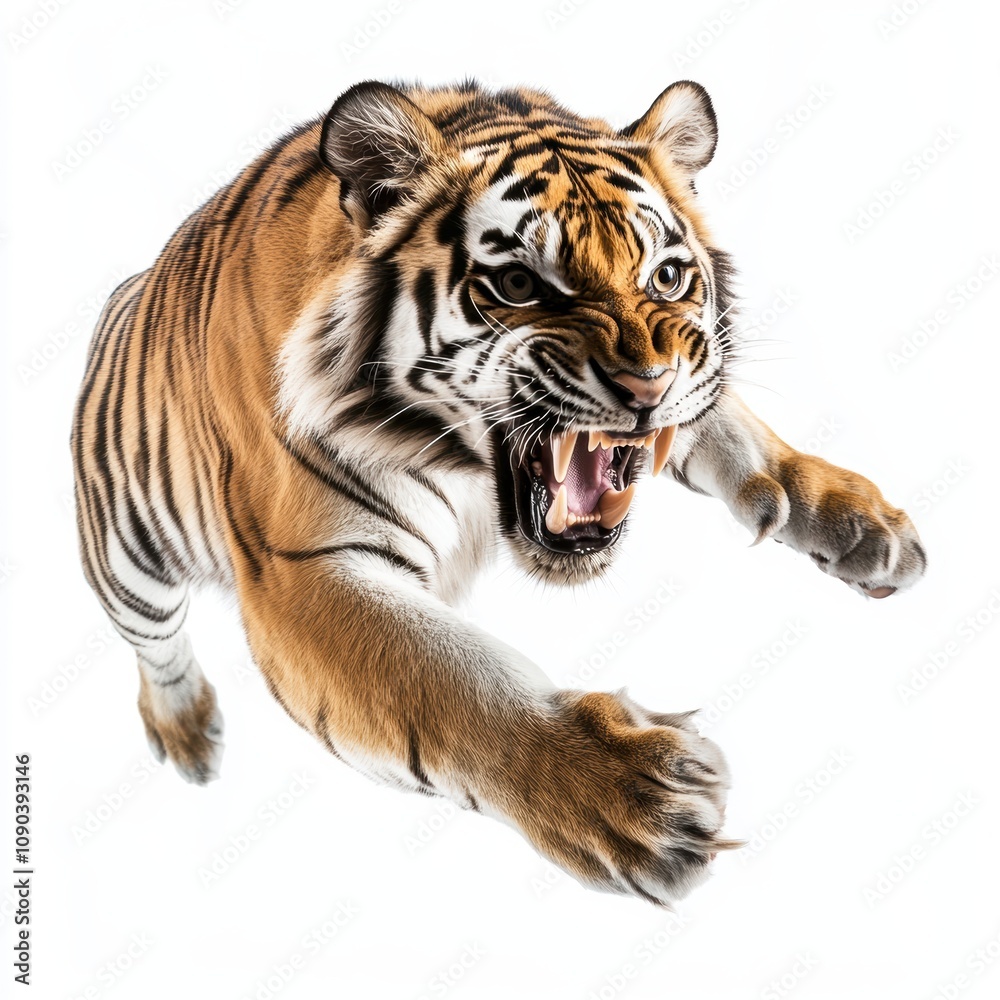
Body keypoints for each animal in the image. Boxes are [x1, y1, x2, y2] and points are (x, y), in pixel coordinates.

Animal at [71, 79, 926, 907]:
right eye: (518, 283)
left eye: (667, 276)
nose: (647, 388)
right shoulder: (302, 570)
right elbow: (452, 681)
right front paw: (626, 795)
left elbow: (736, 428)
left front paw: (862, 525)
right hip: (127, 561)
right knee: (156, 648)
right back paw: (189, 734)